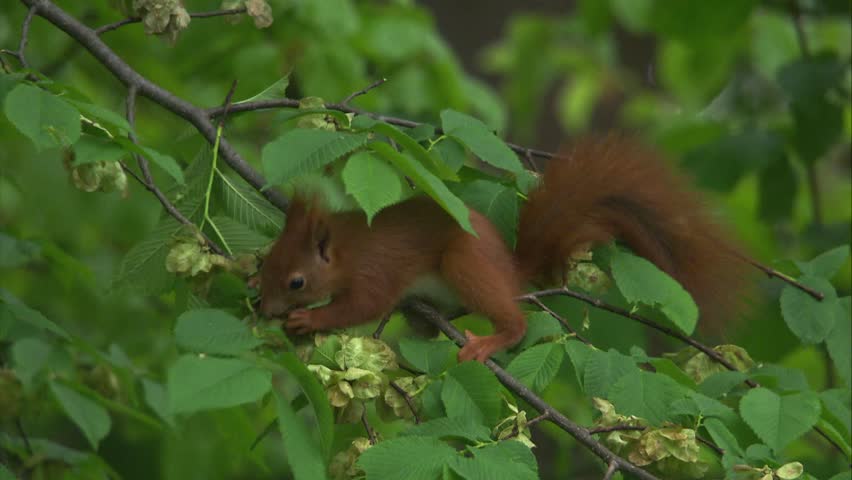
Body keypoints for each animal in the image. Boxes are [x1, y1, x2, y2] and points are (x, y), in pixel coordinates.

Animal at [259, 136, 746, 362]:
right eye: (266, 261)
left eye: (297, 282)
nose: (264, 308)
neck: (347, 246)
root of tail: (510, 268)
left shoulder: (375, 270)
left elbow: (363, 304)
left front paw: (311, 318)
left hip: (464, 263)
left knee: (515, 321)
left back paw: (491, 341)